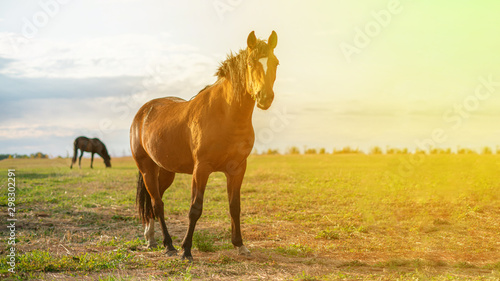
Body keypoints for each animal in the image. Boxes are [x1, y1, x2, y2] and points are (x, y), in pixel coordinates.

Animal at [131, 29, 280, 260]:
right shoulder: (201, 169)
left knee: (154, 201)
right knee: (157, 204)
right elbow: (195, 208)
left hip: (165, 171)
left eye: (275, 62)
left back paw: (151, 238)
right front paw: (186, 250)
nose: (265, 97)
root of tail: (144, 112)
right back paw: (169, 245)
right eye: (250, 63)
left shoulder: (237, 169)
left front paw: (239, 245)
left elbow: (234, 206)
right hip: (147, 168)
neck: (226, 115)